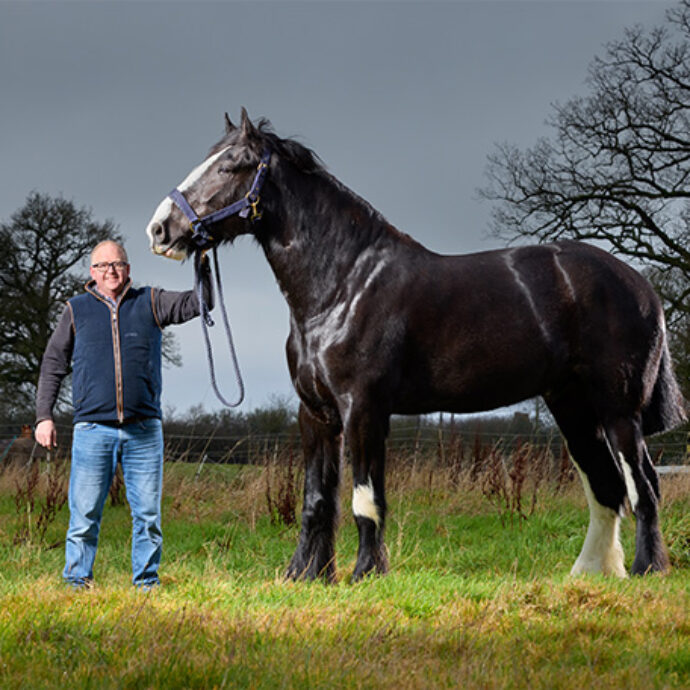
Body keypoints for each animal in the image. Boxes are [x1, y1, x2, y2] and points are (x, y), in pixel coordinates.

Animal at [146, 109, 686, 581]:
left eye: (231, 165)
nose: (160, 228)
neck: (343, 283)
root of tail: (639, 284)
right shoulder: (315, 413)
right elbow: (316, 499)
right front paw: (305, 576)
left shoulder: (364, 408)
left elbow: (365, 499)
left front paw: (366, 574)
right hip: (573, 408)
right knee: (606, 488)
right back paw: (591, 572)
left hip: (618, 410)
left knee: (644, 486)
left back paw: (647, 568)